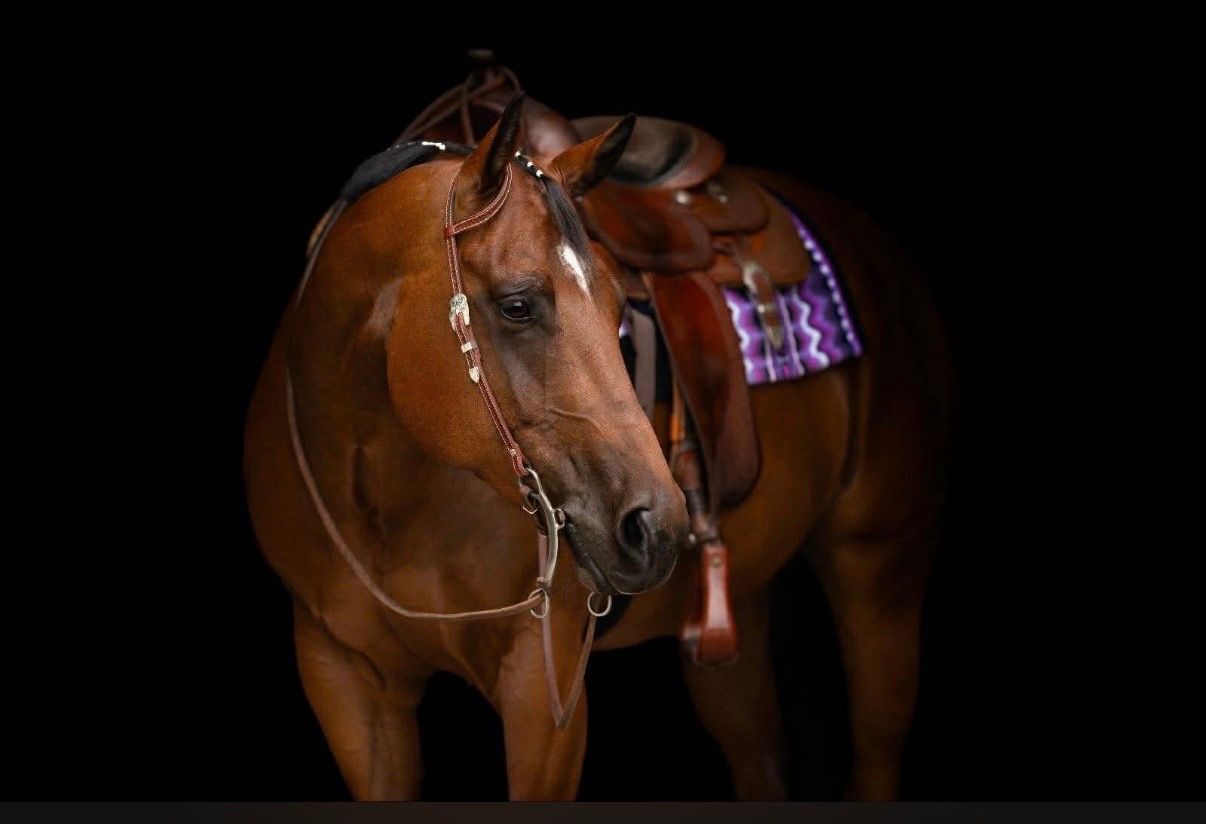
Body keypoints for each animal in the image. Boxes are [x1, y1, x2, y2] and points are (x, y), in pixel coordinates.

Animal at [244, 83, 951, 800]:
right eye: (517, 305)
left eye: (618, 307)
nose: (657, 525)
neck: (379, 495)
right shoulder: (347, 682)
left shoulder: (542, 691)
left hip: (878, 575)